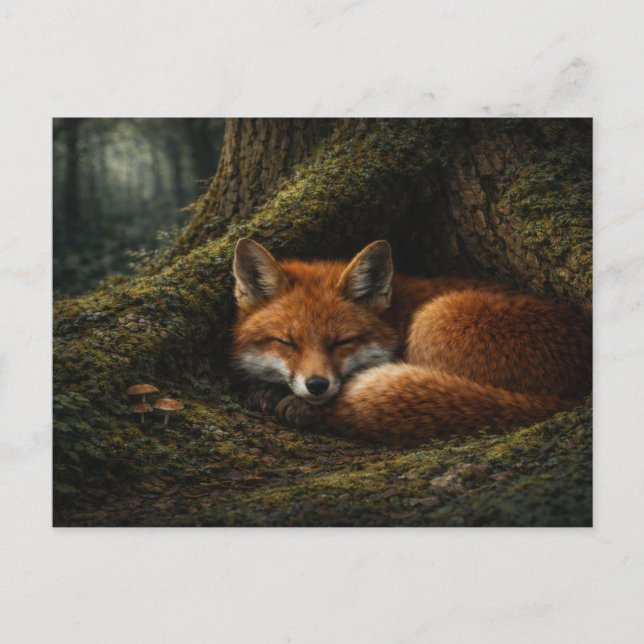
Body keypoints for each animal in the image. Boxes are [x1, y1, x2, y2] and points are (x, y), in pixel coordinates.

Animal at [231, 238, 592, 446]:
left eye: (342, 341)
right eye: (287, 342)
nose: (317, 385)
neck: (397, 317)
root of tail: (567, 399)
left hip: (436, 319)